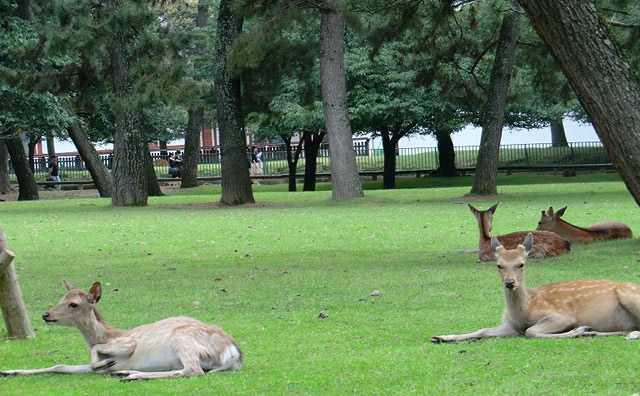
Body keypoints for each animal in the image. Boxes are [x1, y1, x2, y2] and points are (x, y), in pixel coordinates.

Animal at [0, 282, 242, 380]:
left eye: (74, 304)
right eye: (62, 298)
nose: (46, 314)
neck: (110, 334)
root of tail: (234, 353)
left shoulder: (128, 343)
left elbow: (97, 351)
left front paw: (107, 361)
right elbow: (61, 366)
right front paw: (7, 371)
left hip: (183, 338)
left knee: (193, 370)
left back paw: (131, 375)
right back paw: (124, 372)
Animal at [430, 234, 640, 342]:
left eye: (521, 264)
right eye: (498, 265)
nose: (510, 283)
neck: (524, 310)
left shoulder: (561, 315)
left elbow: (531, 331)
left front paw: (578, 330)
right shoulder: (512, 326)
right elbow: (482, 330)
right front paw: (441, 337)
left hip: (629, 294)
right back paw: (598, 332)